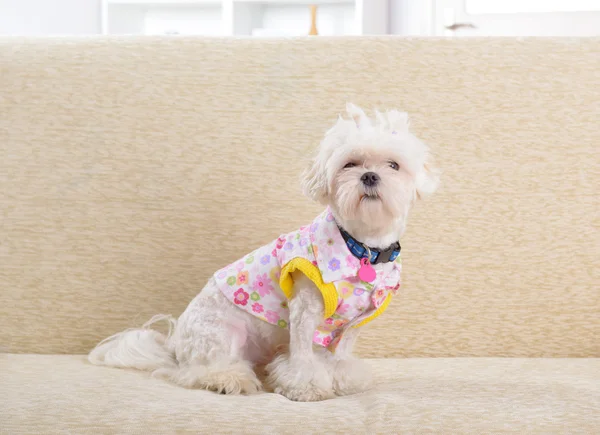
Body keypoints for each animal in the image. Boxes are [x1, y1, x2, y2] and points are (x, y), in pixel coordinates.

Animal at [88, 104, 436, 402]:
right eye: (349, 164)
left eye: (394, 165)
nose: (369, 176)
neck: (361, 246)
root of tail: (174, 345)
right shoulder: (305, 309)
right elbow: (303, 356)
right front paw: (306, 386)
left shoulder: (351, 323)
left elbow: (340, 354)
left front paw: (344, 378)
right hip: (221, 334)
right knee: (198, 371)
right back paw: (229, 380)